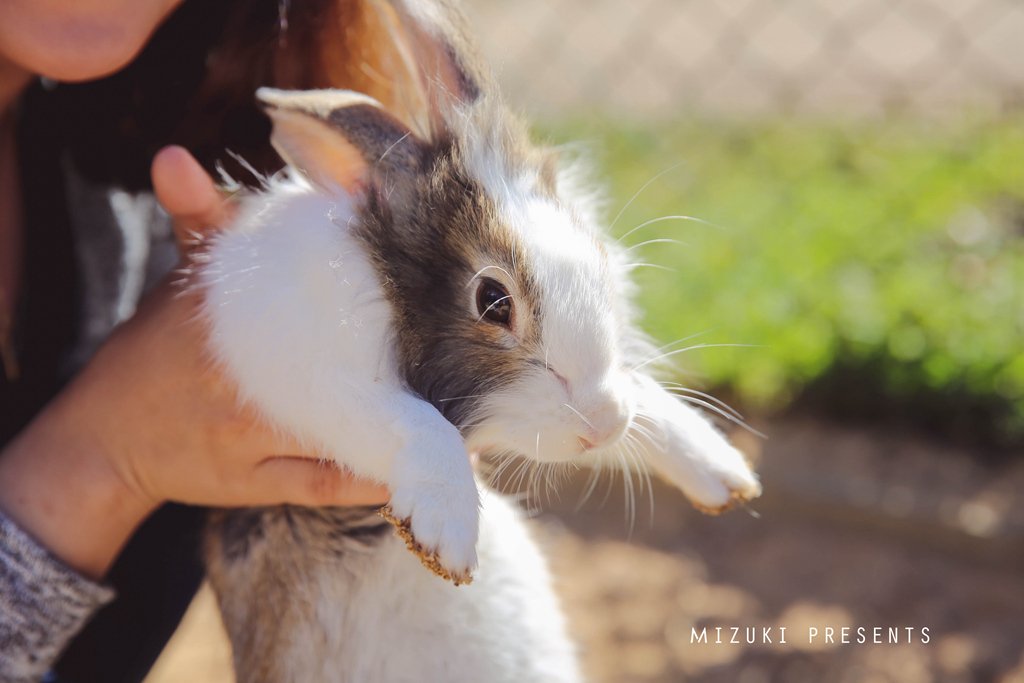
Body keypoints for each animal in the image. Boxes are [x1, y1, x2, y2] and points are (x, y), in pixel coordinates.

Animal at [199, 0, 761, 679]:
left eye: (596, 254)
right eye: (493, 302)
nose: (602, 424)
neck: (385, 286)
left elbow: (647, 401)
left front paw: (723, 474)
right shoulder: (317, 373)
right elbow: (417, 424)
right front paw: (445, 537)